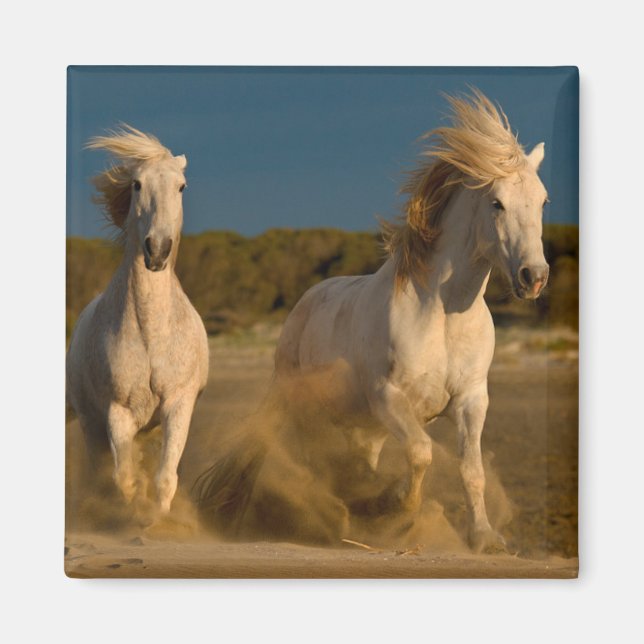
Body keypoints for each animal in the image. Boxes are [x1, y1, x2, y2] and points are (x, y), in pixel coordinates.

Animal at [66, 126, 209, 514]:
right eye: (136, 184)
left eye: (181, 186)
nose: (157, 250)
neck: (151, 332)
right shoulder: (118, 412)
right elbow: (126, 480)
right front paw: (135, 515)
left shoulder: (178, 405)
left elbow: (165, 478)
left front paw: (158, 521)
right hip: (91, 423)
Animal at [195, 90, 549, 552]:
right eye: (497, 203)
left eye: (543, 200)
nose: (534, 277)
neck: (442, 316)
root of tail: (304, 304)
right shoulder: (389, 398)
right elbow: (421, 453)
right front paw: (388, 509)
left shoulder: (472, 399)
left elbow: (472, 470)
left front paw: (485, 538)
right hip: (306, 408)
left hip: (363, 428)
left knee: (352, 463)